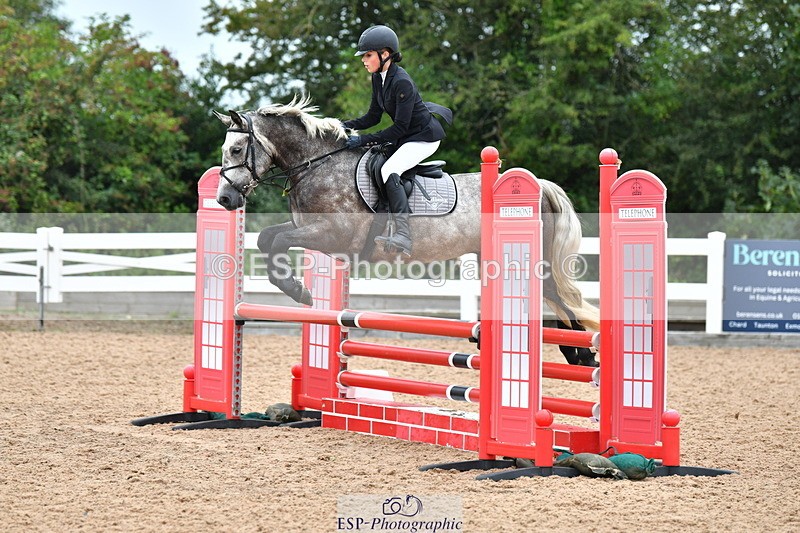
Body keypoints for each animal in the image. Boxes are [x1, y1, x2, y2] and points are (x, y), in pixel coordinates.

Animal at [213, 96, 600, 366]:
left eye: (237, 148)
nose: (225, 198)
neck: (317, 165)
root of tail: (539, 186)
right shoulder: (306, 227)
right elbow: (268, 238)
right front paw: (296, 288)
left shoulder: (333, 234)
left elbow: (278, 240)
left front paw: (300, 292)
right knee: (554, 300)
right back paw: (572, 352)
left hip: (534, 264)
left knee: (562, 299)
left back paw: (583, 354)